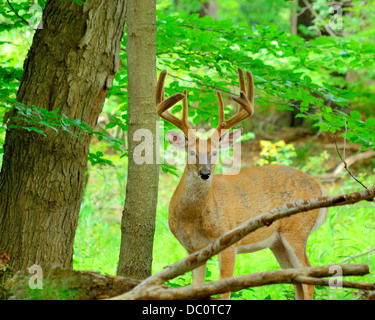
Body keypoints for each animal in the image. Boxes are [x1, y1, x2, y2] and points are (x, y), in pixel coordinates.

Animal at [154, 67, 328, 300]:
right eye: (191, 152)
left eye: (215, 152)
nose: (205, 173)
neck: (194, 219)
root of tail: (320, 187)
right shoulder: (192, 250)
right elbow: (196, 289)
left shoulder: (229, 242)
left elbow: (224, 289)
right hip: (278, 243)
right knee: (296, 279)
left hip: (296, 229)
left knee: (308, 278)